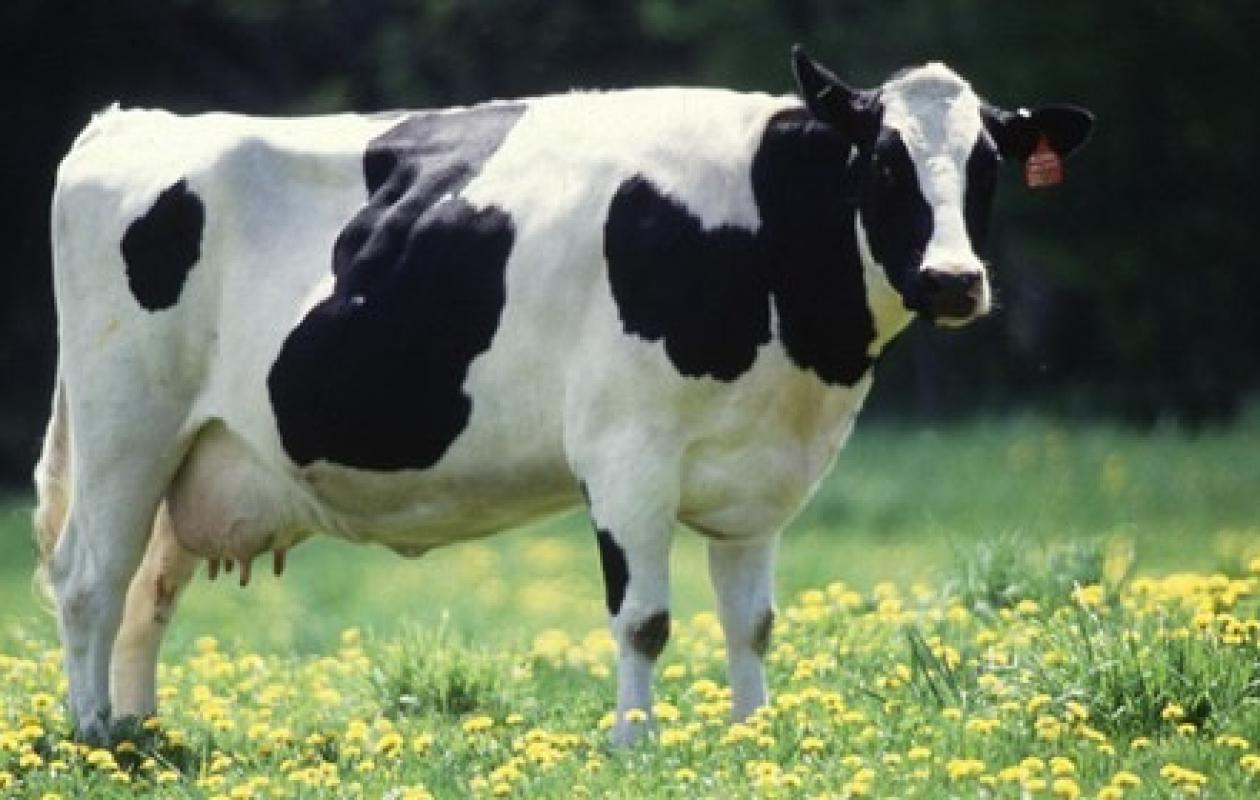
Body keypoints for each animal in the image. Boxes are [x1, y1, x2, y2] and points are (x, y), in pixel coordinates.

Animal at [34, 46, 1092, 745]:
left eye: (988, 166)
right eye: (883, 161)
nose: (954, 280)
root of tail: (129, 122)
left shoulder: (760, 476)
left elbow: (752, 621)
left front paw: (753, 740)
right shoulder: (627, 455)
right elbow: (645, 619)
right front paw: (635, 746)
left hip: (196, 454)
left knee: (148, 591)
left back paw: (143, 734)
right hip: (125, 425)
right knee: (90, 580)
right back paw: (95, 739)